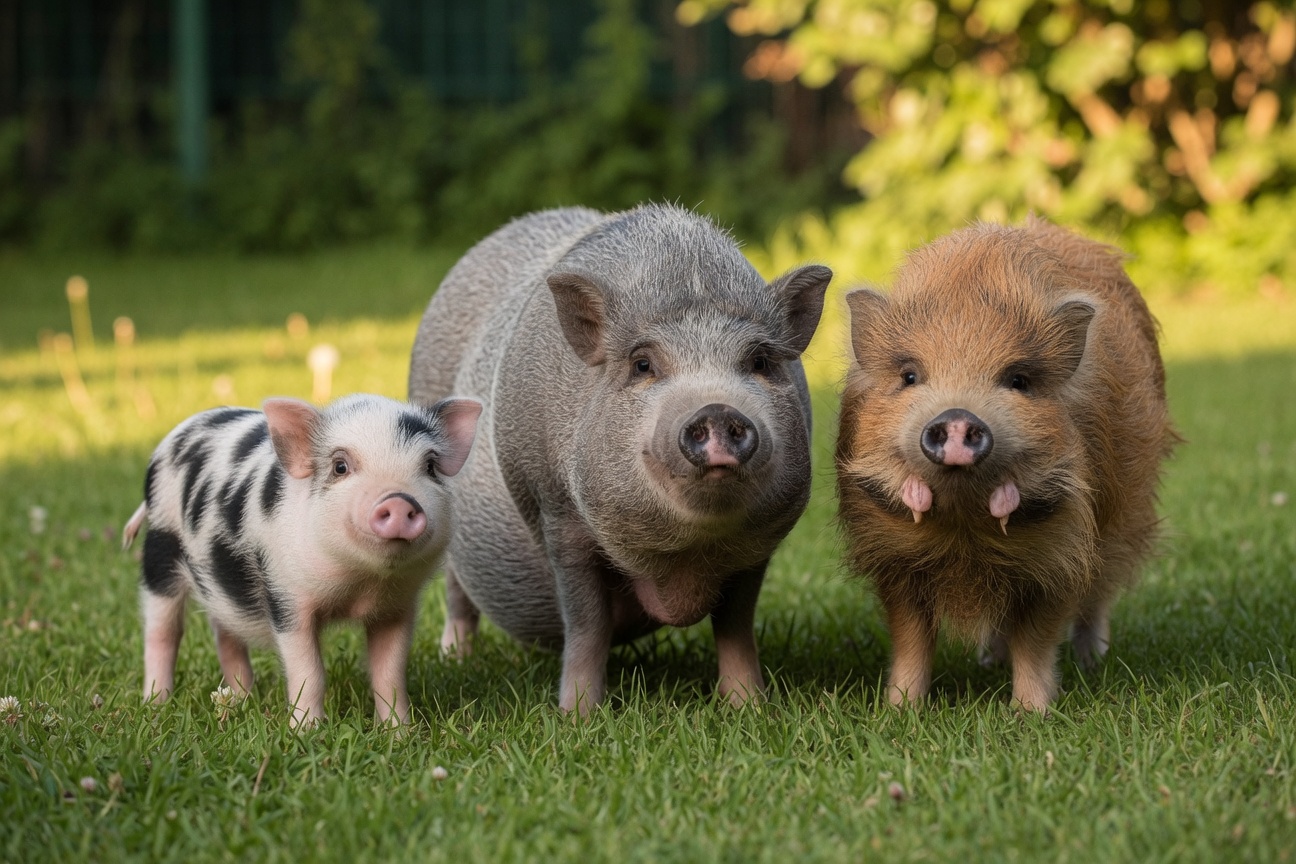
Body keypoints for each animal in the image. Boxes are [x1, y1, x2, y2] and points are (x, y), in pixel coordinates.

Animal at [122, 394, 481, 727]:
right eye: (340, 466)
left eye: (430, 466)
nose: (399, 501)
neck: (361, 586)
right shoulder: (287, 596)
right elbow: (309, 671)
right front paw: (307, 732)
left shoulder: (397, 607)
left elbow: (389, 675)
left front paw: (400, 733)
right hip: (160, 547)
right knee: (162, 632)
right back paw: (156, 706)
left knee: (225, 632)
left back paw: (240, 700)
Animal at [408, 204, 832, 714]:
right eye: (643, 364)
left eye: (761, 361)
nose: (716, 408)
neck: (687, 558)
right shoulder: (558, 511)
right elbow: (587, 625)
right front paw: (578, 716)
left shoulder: (758, 544)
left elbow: (736, 626)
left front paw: (748, 707)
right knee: (456, 591)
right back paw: (455, 658)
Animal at [836, 218, 1177, 712]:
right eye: (909, 376)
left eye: (1018, 380)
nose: (957, 416)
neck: (964, 532)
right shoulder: (894, 557)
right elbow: (912, 639)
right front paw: (900, 710)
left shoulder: (1058, 555)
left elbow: (1036, 641)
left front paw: (1030, 714)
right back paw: (988, 663)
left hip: (1123, 526)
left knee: (1098, 597)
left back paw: (1093, 662)